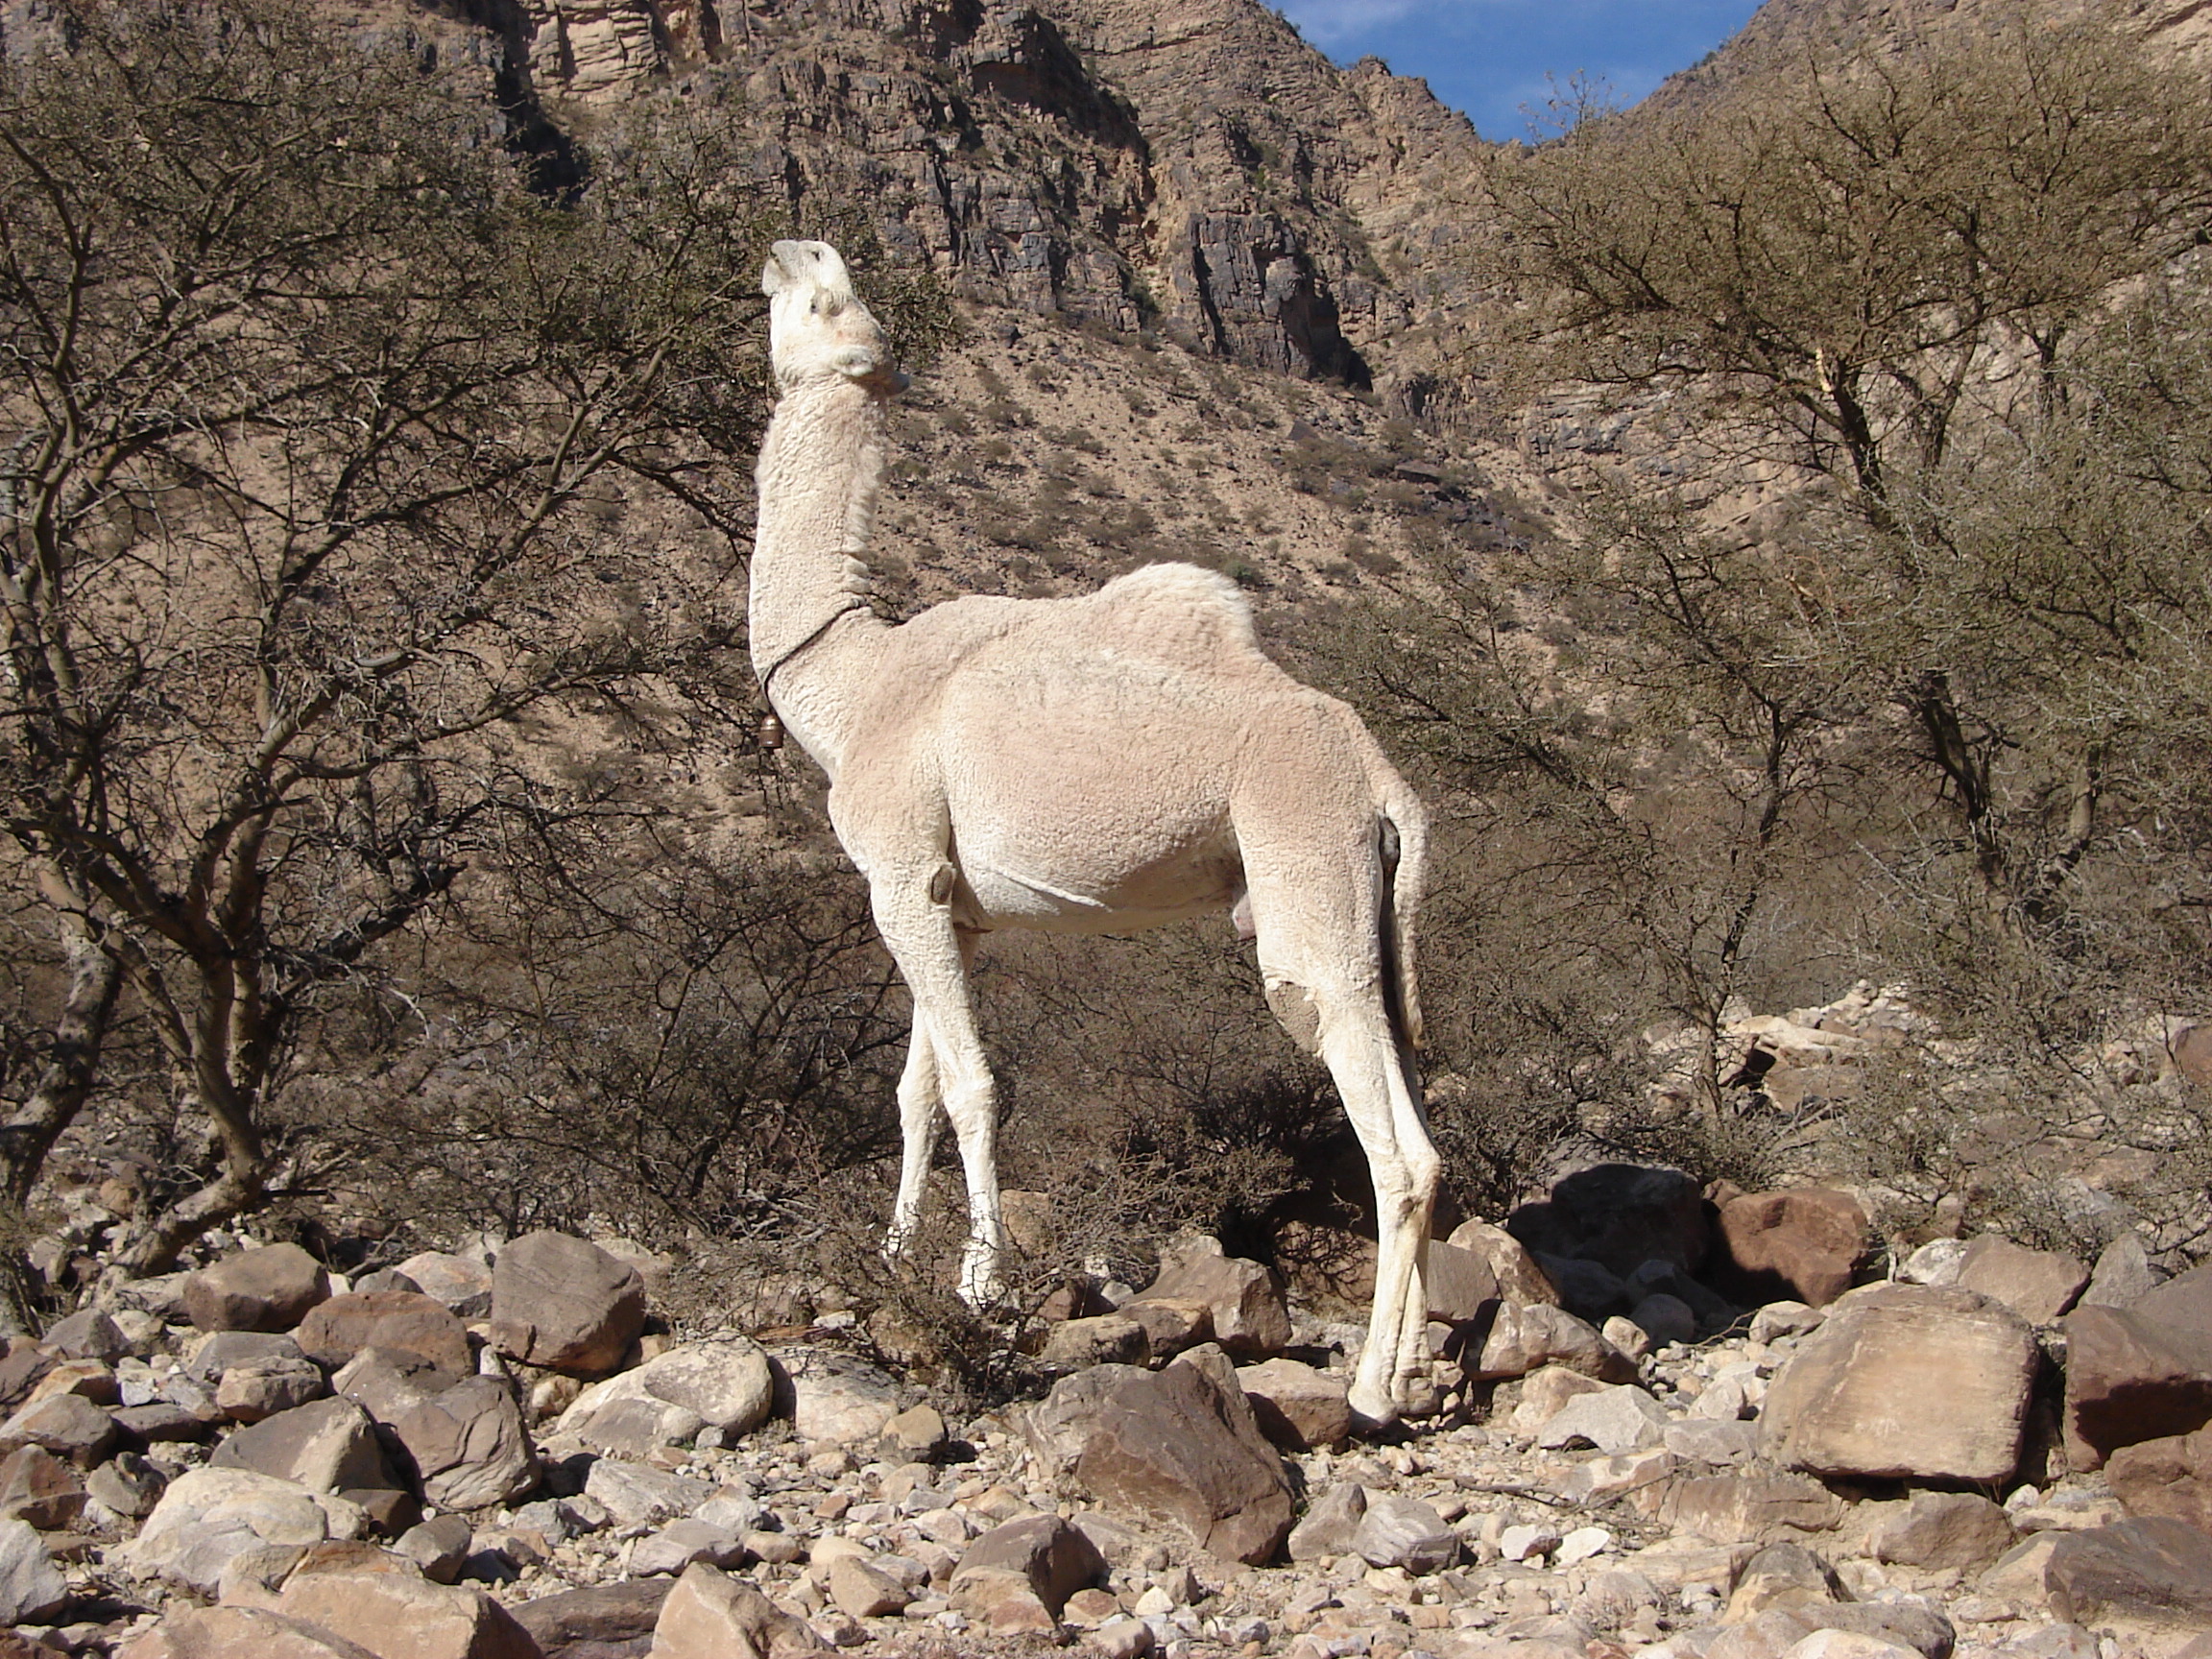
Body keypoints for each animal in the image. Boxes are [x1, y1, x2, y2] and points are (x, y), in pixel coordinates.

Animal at [751, 239, 1440, 1424]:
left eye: (824, 299)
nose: (784, 248)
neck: (851, 688)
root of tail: (1384, 777)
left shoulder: (899, 875)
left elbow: (973, 1085)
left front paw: (979, 1287)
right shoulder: (941, 901)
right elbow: (915, 1093)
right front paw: (888, 1262)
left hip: (1310, 867)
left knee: (1384, 1140)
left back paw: (1369, 1391)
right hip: (1373, 903)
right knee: (1426, 1138)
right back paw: (1422, 1368)